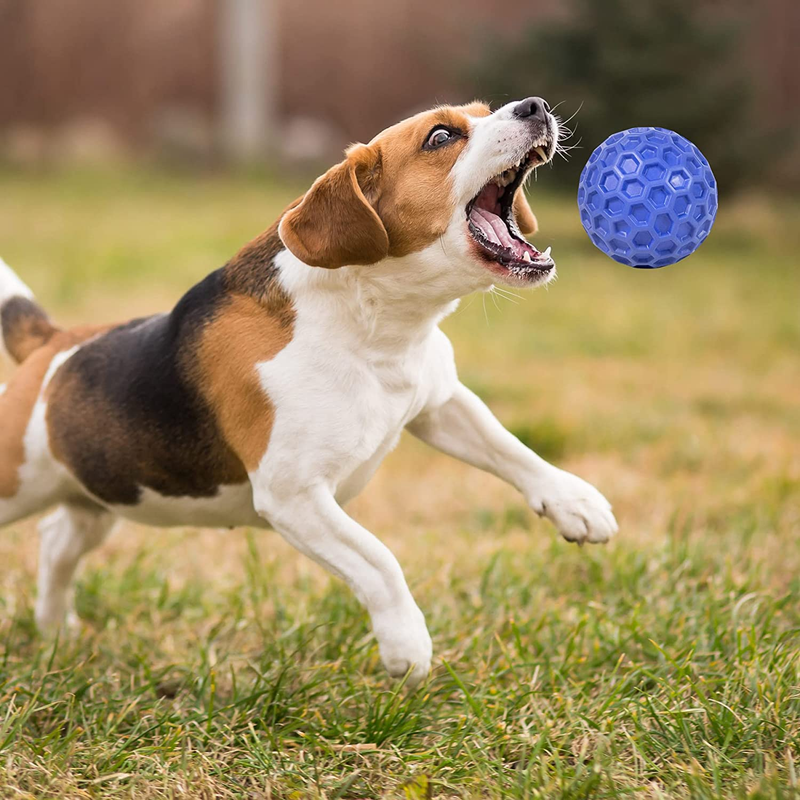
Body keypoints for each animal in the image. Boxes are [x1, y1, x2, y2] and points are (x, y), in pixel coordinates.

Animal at [0, 98, 620, 688]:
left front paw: (575, 503)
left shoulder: (440, 402)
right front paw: (407, 645)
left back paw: (55, 630)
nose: (536, 106)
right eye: (441, 136)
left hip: (105, 494)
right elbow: (380, 561)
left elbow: (512, 450)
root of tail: (51, 344)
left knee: (56, 539)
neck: (376, 325)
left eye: (485, 112)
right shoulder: (294, 496)